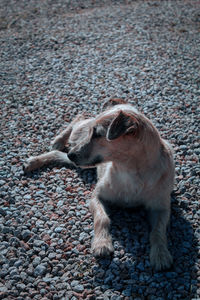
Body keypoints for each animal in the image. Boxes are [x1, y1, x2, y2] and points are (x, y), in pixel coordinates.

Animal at [23, 99, 174, 270]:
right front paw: (102, 243)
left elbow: (158, 231)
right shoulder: (97, 196)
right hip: (79, 139)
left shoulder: (161, 208)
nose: (72, 154)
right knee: (79, 118)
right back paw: (57, 141)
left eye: (98, 134)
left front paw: (160, 253)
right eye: (92, 132)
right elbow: (102, 218)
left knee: (59, 153)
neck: (130, 171)